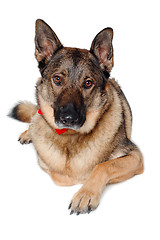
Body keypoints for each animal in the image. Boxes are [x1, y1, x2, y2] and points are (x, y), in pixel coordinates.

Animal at [9, 18, 144, 214]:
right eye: (57, 79)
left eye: (88, 83)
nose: (68, 119)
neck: (69, 137)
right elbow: (62, 176)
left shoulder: (135, 157)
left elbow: (102, 166)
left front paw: (85, 194)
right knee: (35, 114)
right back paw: (28, 133)